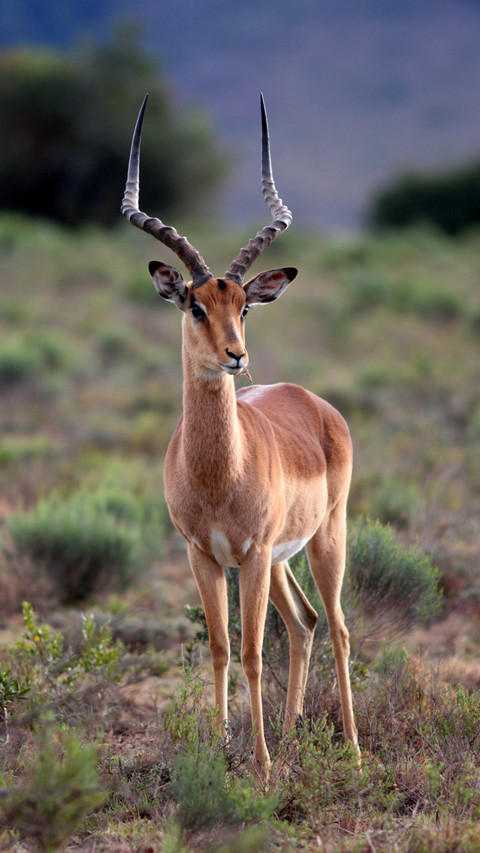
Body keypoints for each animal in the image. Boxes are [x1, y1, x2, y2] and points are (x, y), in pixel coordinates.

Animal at [121, 94, 359, 776]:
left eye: (245, 306)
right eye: (195, 305)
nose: (236, 356)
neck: (215, 474)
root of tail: (312, 401)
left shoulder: (248, 556)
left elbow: (253, 653)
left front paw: (259, 765)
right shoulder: (204, 555)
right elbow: (223, 649)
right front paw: (224, 747)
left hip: (323, 538)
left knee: (337, 628)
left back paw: (354, 751)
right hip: (279, 560)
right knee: (304, 623)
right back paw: (294, 734)